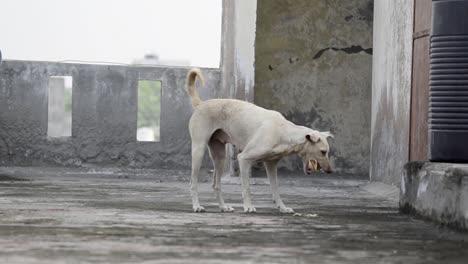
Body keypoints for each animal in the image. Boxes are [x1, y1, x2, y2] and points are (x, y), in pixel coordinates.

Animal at [186, 67, 332, 213]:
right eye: (323, 152)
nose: (330, 171)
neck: (284, 132)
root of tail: (200, 104)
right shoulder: (244, 159)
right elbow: (246, 187)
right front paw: (248, 206)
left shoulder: (271, 164)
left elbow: (275, 188)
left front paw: (282, 207)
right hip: (199, 151)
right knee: (193, 183)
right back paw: (196, 206)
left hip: (220, 157)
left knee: (216, 185)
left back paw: (223, 207)